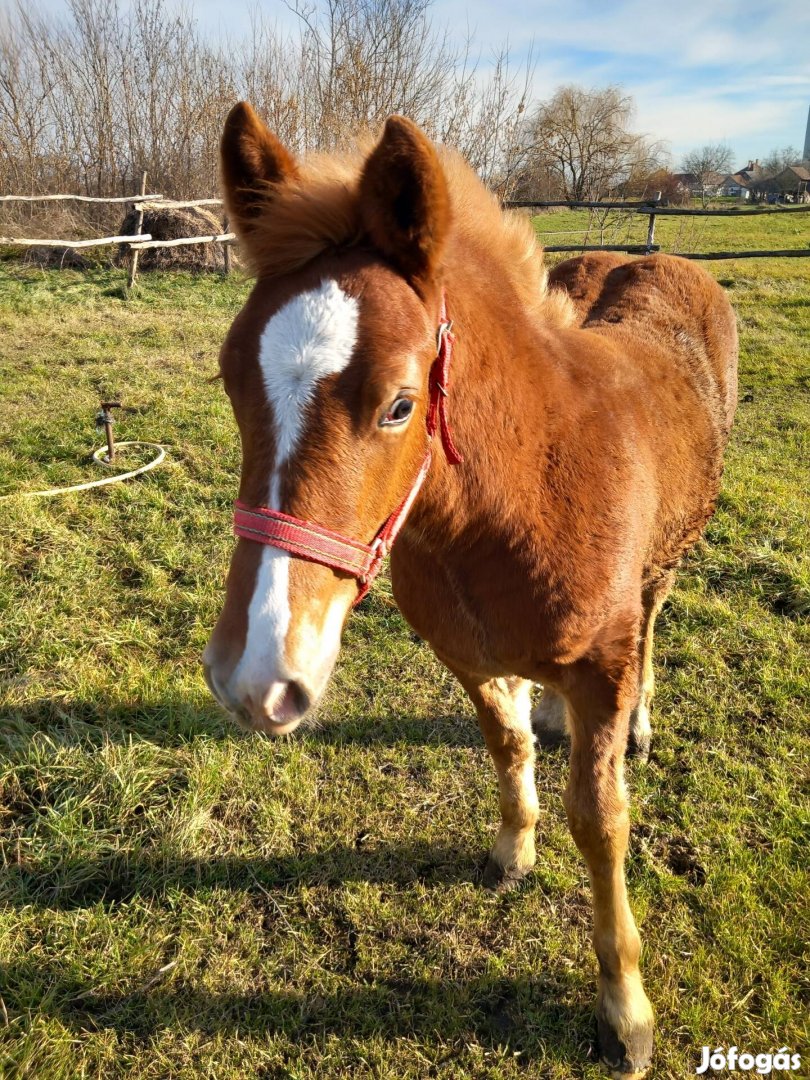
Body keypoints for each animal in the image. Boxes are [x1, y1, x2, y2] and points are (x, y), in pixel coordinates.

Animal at [201, 103, 734, 1080]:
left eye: (400, 404)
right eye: (231, 377)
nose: (254, 680)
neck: (524, 496)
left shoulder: (602, 665)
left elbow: (601, 821)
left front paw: (625, 1010)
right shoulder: (468, 653)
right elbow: (507, 743)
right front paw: (512, 849)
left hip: (667, 563)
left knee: (656, 619)